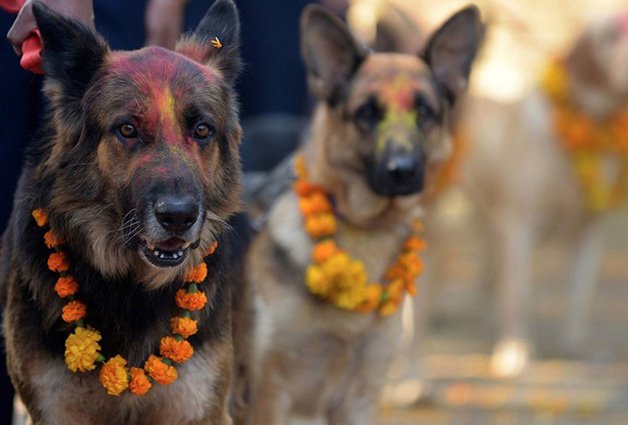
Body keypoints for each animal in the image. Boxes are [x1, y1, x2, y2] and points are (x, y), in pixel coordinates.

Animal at [0, 1, 244, 422]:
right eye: (127, 129)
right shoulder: (56, 410)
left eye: (202, 130)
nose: (178, 217)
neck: (131, 286)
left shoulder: (197, 408)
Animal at [243, 4, 484, 424]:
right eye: (367, 113)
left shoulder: (360, 395)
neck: (363, 228)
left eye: (424, 112)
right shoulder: (268, 396)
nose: (402, 171)